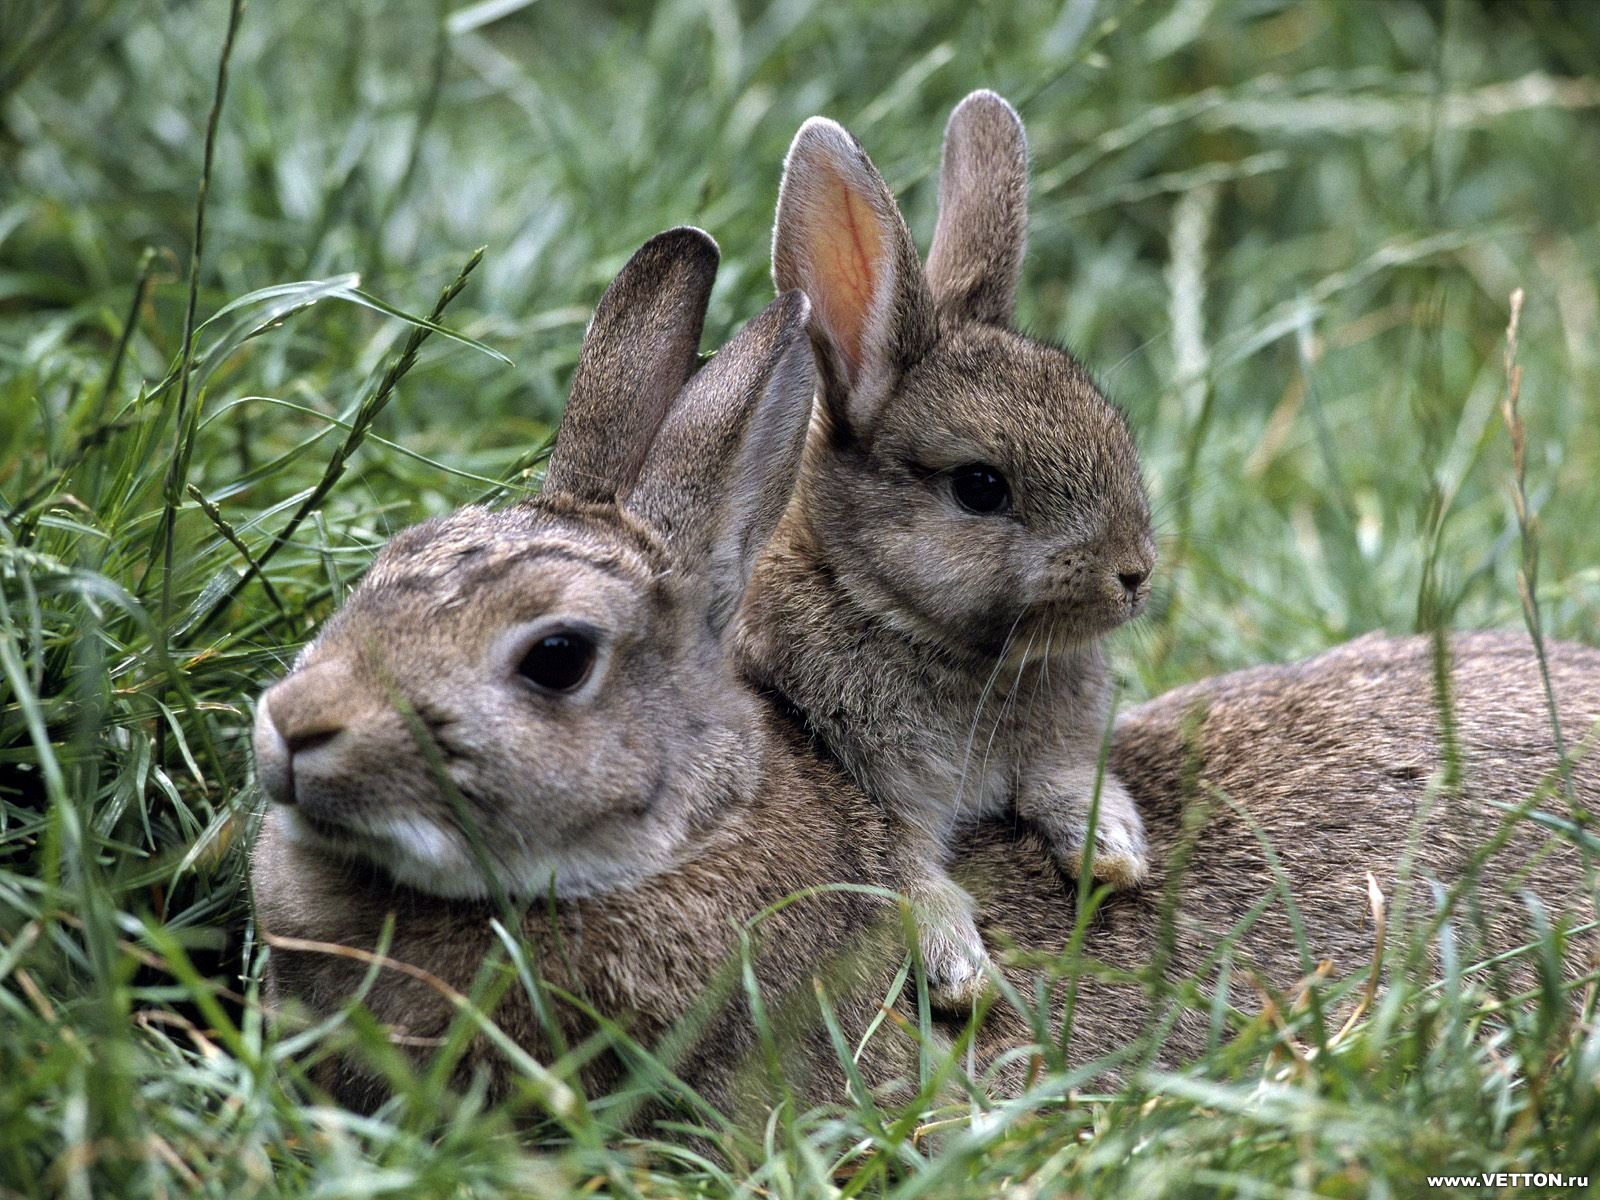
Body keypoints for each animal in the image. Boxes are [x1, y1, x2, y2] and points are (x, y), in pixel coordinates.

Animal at [736, 89, 1164, 1004]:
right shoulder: (864, 786)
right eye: (979, 487)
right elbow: (900, 870)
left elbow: (1064, 779)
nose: (1134, 574)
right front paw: (960, 969)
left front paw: (1112, 850)